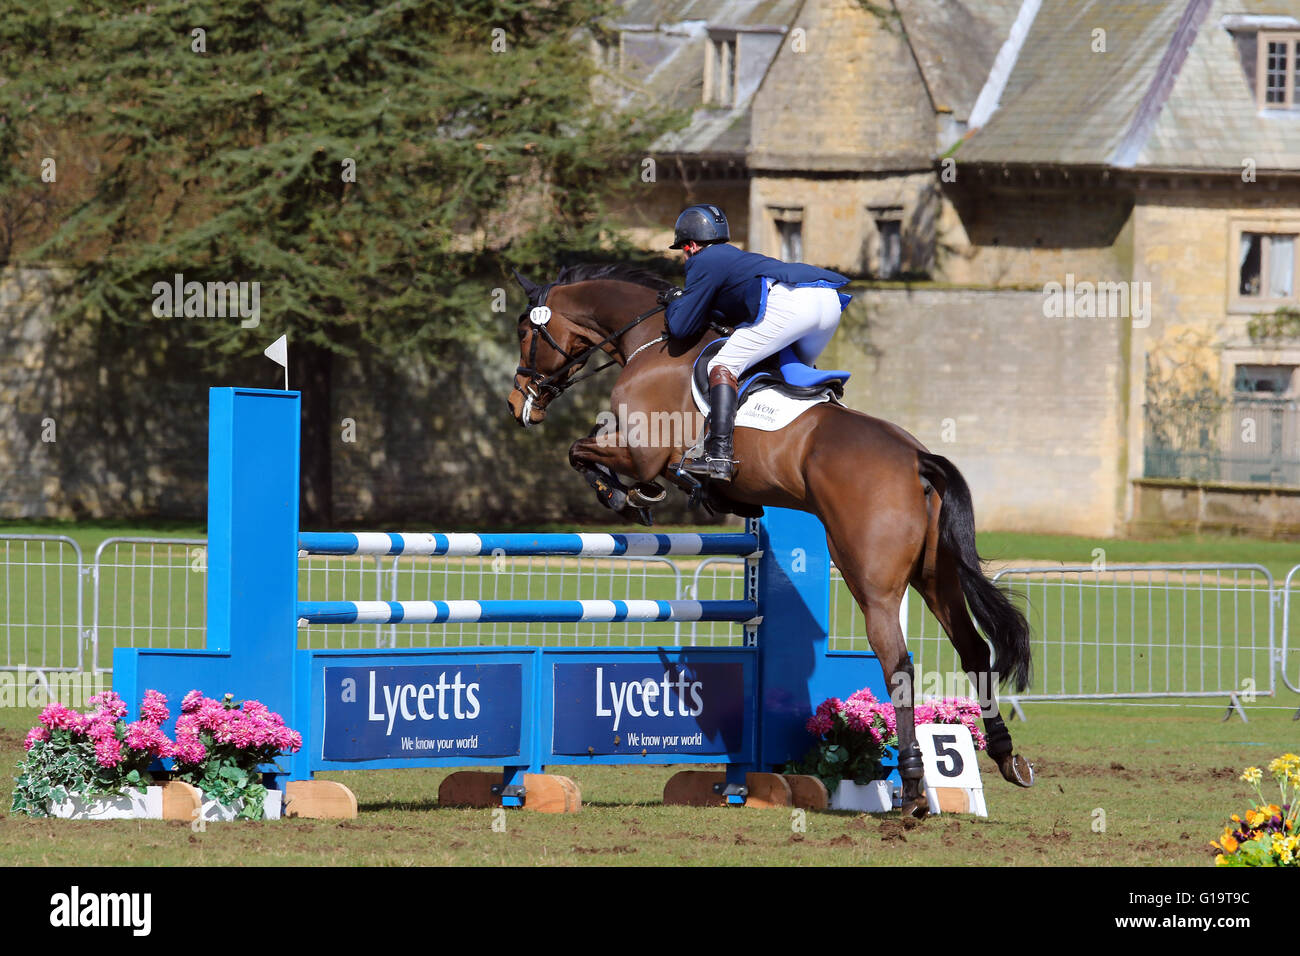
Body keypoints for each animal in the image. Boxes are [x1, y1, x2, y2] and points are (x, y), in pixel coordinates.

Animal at [506, 263, 1035, 817]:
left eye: (524, 332)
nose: (519, 403)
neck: (651, 339)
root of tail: (917, 459)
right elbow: (587, 451)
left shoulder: (641, 450)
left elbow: (581, 450)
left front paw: (626, 496)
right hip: (936, 577)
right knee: (973, 650)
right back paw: (1005, 758)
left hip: (871, 580)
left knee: (898, 664)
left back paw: (912, 786)